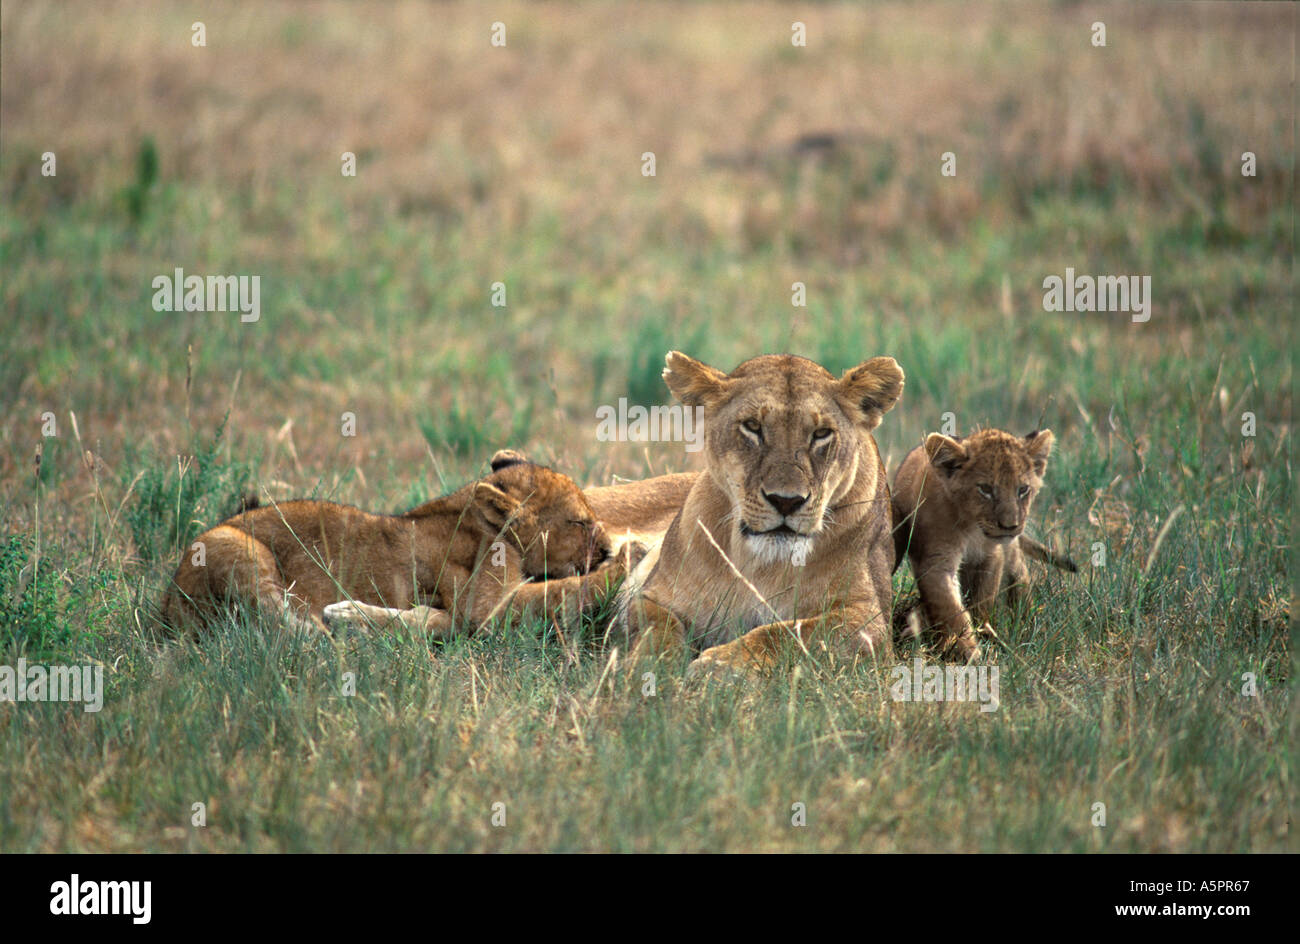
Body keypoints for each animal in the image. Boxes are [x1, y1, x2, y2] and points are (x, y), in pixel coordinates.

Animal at [159, 458, 627, 639]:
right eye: (579, 522)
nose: (606, 548)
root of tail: (167, 604)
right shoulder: (486, 607)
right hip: (235, 547)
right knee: (286, 627)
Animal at [618, 351, 905, 675]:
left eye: (821, 434)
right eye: (752, 426)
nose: (786, 501)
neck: (761, 564)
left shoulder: (870, 620)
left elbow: (790, 633)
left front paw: (723, 664)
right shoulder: (653, 595)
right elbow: (658, 627)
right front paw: (646, 665)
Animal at [891, 427, 1076, 662]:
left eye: (1022, 489)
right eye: (985, 489)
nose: (1010, 526)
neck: (972, 525)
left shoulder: (991, 556)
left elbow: (982, 598)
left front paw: (983, 633)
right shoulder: (936, 560)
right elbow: (949, 607)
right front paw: (965, 649)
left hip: (1013, 559)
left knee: (1020, 581)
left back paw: (1024, 625)